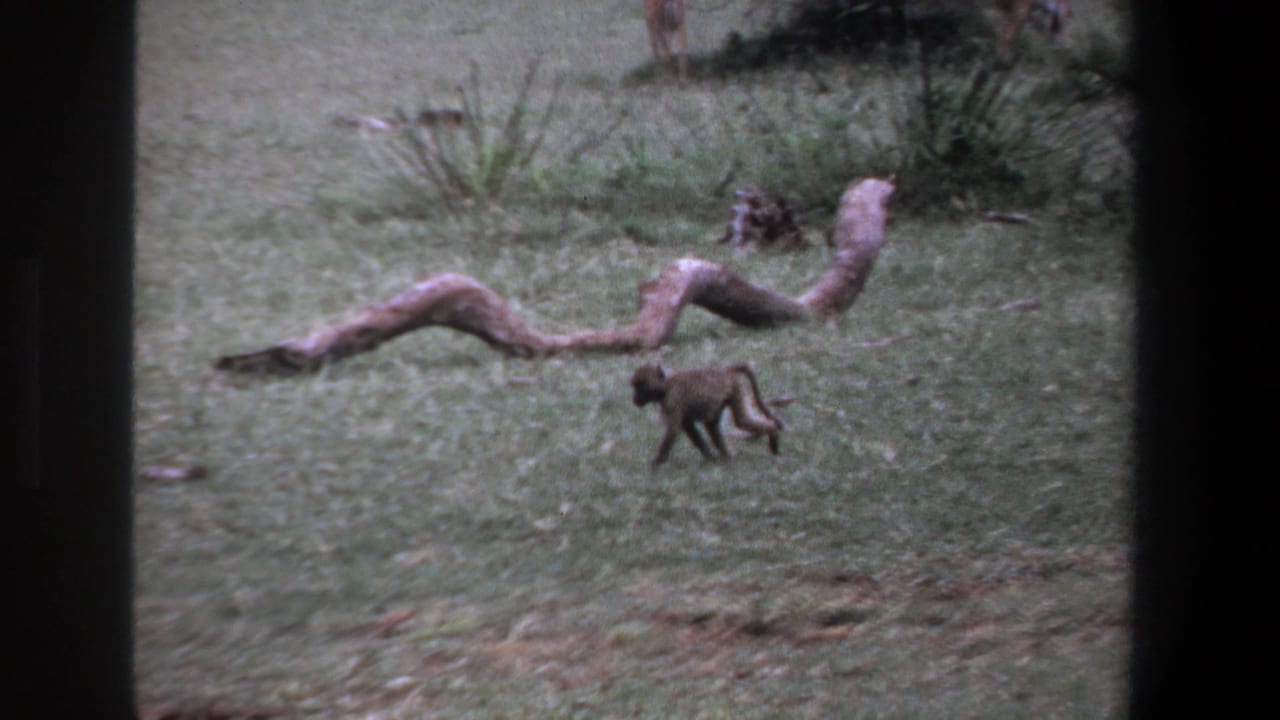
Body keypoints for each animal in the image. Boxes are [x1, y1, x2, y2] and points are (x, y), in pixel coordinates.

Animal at [630, 362, 784, 466]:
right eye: (635, 386)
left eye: (640, 385)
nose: (635, 399)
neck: (666, 384)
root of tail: (724, 371)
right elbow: (689, 427)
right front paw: (710, 457)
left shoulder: (674, 398)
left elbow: (673, 429)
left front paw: (657, 461)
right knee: (713, 425)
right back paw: (726, 457)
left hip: (734, 388)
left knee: (742, 420)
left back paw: (772, 432)